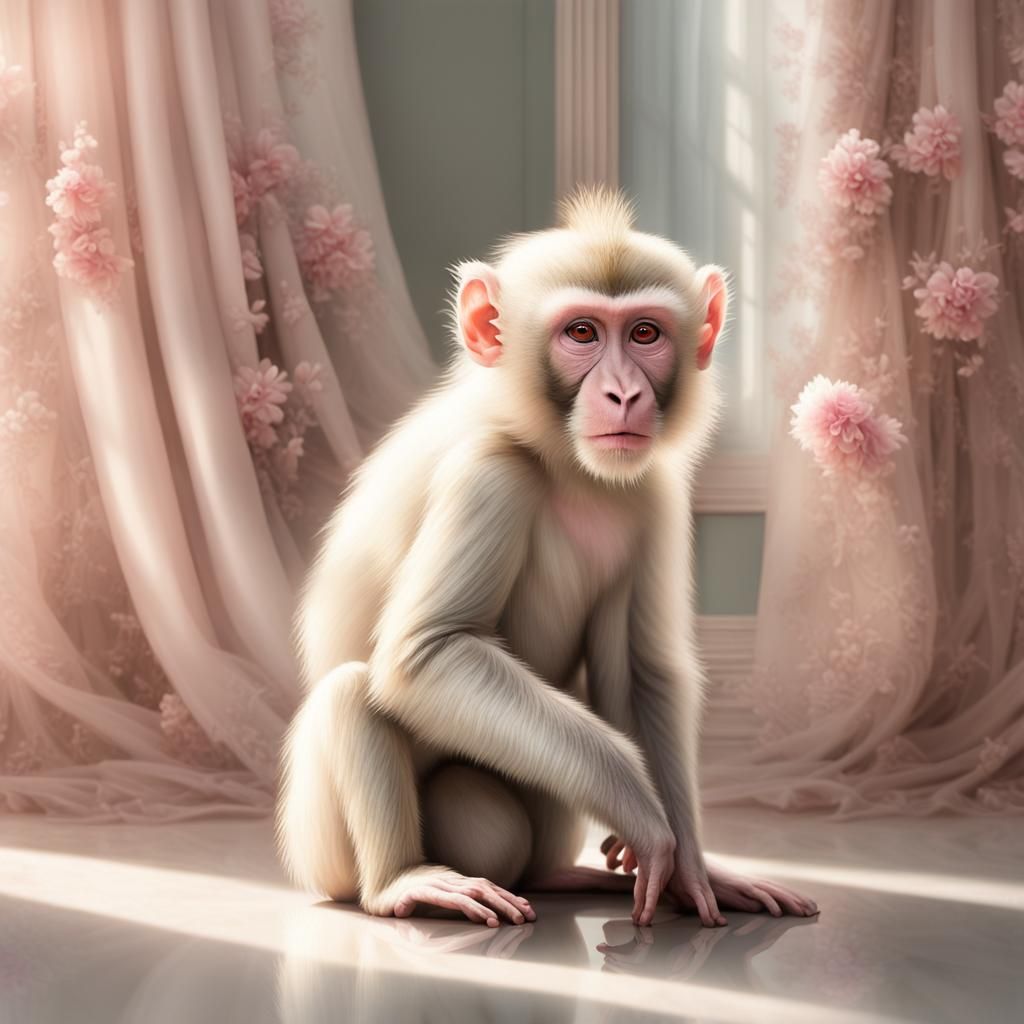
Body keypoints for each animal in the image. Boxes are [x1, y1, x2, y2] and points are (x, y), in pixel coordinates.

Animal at [277, 187, 818, 929]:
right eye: (582, 334)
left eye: (644, 334)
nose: (623, 393)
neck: (563, 461)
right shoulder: (488, 473)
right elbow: (428, 654)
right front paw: (643, 812)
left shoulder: (654, 492)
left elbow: (642, 674)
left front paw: (696, 870)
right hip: (320, 849)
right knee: (355, 694)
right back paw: (403, 880)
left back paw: (559, 875)